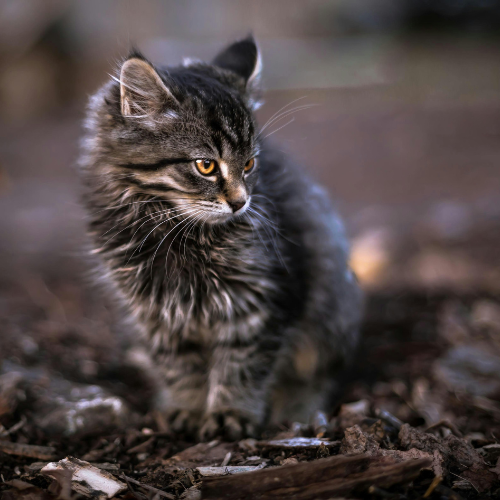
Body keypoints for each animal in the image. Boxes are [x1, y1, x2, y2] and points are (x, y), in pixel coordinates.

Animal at [78, 36, 362, 442]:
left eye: (249, 165)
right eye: (206, 166)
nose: (241, 202)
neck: (177, 232)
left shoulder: (259, 301)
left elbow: (241, 366)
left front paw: (230, 414)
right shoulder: (157, 315)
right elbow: (180, 369)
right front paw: (188, 409)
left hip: (333, 316)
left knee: (317, 377)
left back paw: (297, 410)